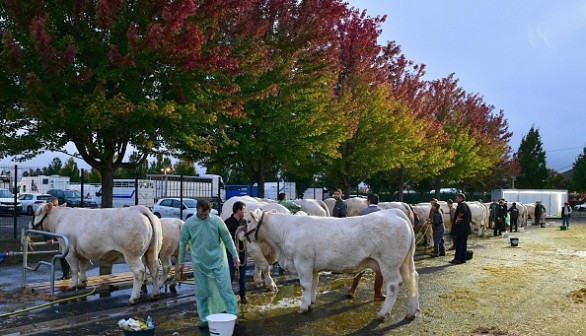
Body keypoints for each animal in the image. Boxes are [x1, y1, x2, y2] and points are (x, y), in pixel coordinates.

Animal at [33, 203, 163, 304]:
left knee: (139, 272)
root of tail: (139, 208)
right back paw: (155, 295)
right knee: (154, 268)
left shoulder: (69, 251)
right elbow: (82, 266)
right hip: (150, 251)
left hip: (132, 254)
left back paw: (133, 299)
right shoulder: (82, 250)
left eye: (36, 212)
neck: (60, 219)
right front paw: (82, 283)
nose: (32, 224)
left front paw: (72, 286)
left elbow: (74, 270)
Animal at [243, 209, 420, 322]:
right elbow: (313, 284)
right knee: (412, 279)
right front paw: (311, 302)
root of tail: (393, 212)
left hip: (389, 263)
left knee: (393, 284)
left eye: (247, 221)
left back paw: (383, 314)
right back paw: (411, 312)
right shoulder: (312, 266)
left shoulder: (302, 261)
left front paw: (303, 307)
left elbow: (305, 285)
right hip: (404, 262)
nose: (241, 234)